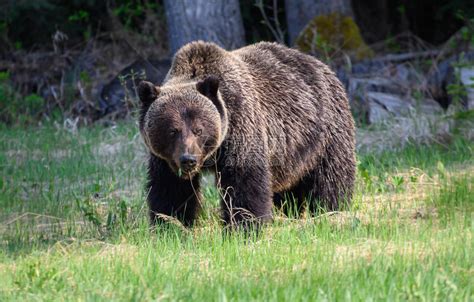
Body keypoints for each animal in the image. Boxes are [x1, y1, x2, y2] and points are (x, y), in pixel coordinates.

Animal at [139, 41, 354, 228]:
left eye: (198, 129)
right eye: (172, 130)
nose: (188, 159)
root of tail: (321, 65)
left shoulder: (241, 127)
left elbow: (244, 182)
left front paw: (244, 227)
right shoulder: (165, 159)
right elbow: (171, 190)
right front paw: (171, 226)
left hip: (325, 132)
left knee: (330, 177)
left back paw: (332, 211)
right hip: (288, 156)